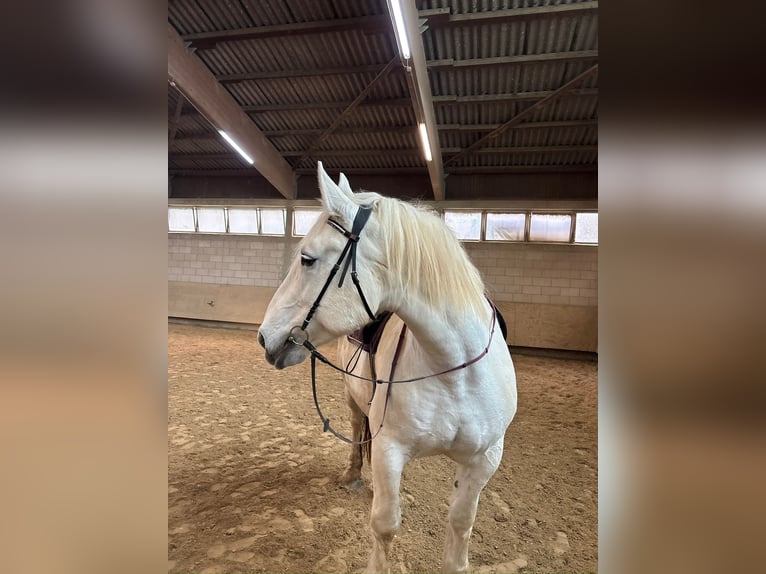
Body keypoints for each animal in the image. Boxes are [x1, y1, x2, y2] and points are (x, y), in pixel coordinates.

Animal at [258, 162, 517, 574]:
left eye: (307, 259)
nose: (264, 337)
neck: (454, 371)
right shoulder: (389, 449)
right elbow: (385, 524)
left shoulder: (484, 460)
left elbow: (461, 525)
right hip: (353, 399)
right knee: (355, 430)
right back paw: (352, 475)